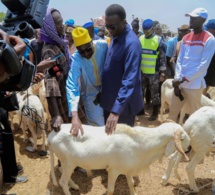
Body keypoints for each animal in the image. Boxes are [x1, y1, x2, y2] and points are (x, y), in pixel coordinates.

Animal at [48, 122, 190, 194]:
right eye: (182, 138)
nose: (189, 147)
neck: (139, 142)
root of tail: (51, 135)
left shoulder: (128, 169)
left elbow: (131, 183)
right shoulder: (113, 171)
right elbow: (111, 190)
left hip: (67, 162)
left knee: (61, 172)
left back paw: (75, 186)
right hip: (69, 163)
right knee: (62, 182)